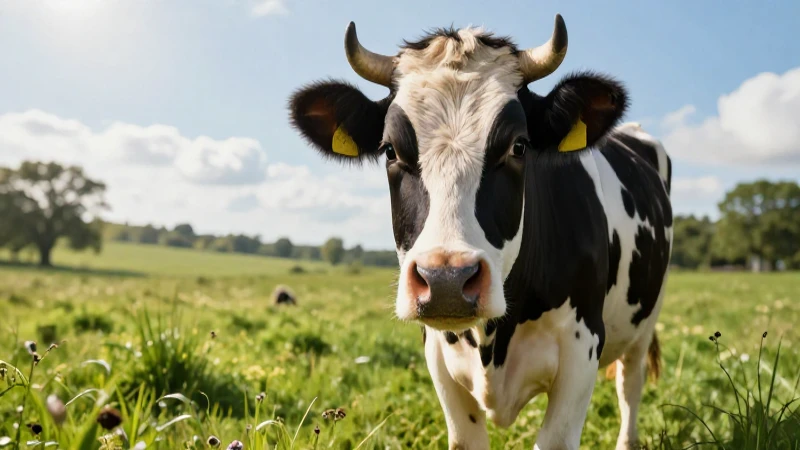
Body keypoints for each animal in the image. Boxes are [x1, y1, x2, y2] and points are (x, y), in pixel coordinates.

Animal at [288, 14, 673, 450]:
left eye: (519, 146)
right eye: (389, 150)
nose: (446, 281)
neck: (494, 341)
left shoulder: (582, 349)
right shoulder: (438, 357)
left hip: (645, 321)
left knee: (630, 385)